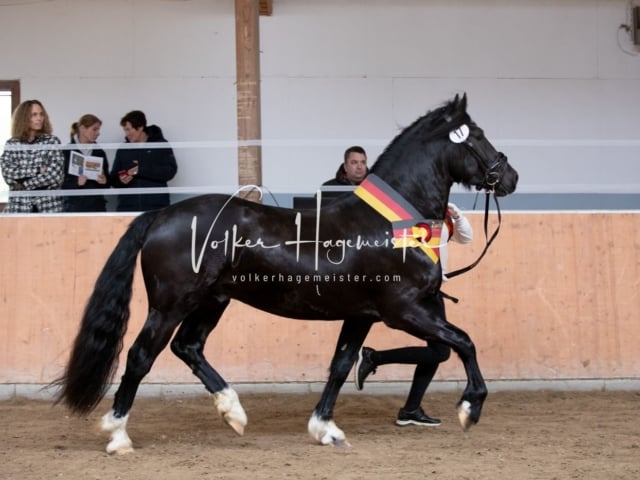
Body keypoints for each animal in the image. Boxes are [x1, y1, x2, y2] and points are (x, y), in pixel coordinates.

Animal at [53, 94, 516, 454]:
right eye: (477, 136)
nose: (509, 176)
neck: (389, 224)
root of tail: (160, 215)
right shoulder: (404, 311)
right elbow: (465, 342)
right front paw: (470, 408)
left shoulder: (361, 315)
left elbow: (341, 365)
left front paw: (325, 429)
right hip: (170, 305)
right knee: (140, 356)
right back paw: (118, 435)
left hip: (212, 300)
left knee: (189, 347)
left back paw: (233, 412)